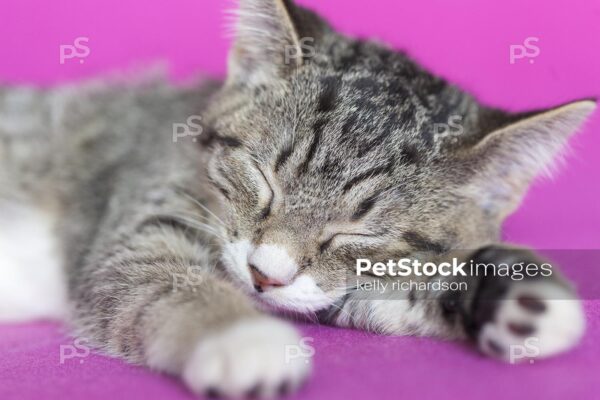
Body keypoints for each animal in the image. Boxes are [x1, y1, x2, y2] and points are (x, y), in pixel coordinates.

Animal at [0, 0, 592, 396]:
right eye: (263, 179)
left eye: (357, 233)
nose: (264, 275)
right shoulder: (136, 210)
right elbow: (154, 272)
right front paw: (239, 337)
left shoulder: (329, 287)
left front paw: (504, 293)